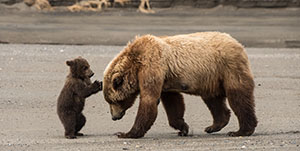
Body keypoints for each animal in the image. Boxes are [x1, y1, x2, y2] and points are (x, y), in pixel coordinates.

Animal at [103, 31, 258, 138]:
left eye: (113, 101)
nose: (114, 117)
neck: (134, 65)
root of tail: (237, 43)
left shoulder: (152, 66)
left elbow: (149, 100)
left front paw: (126, 133)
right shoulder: (165, 78)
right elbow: (173, 102)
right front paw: (183, 128)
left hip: (228, 67)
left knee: (238, 97)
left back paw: (241, 130)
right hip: (211, 78)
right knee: (213, 99)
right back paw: (214, 126)